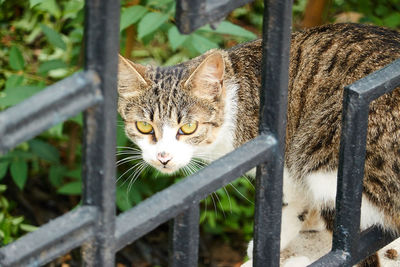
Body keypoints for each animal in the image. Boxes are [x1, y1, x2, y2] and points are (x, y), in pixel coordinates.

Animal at [118, 23, 400, 267]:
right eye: (143, 126)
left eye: (188, 128)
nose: (162, 157)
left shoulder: (287, 162)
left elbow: (291, 202)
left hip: (321, 155)